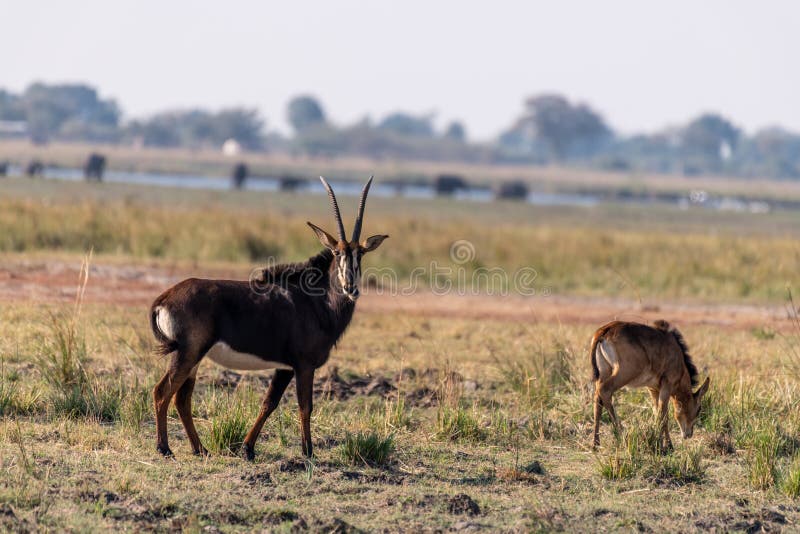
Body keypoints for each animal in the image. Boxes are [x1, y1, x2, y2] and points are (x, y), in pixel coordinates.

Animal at [152, 177, 390, 460]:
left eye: (360, 255)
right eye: (336, 253)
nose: (350, 288)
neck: (315, 300)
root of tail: (165, 297)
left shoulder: (285, 367)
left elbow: (269, 403)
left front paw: (248, 448)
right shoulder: (304, 365)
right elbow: (305, 406)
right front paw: (308, 452)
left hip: (194, 358)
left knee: (182, 399)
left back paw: (200, 449)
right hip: (187, 354)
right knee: (162, 392)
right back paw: (164, 448)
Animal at [588, 322, 712, 452]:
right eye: (699, 409)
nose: (689, 434)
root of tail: (605, 330)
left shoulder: (653, 389)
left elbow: (657, 413)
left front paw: (661, 443)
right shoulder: (666, 387)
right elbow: (663, 416)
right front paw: (668, 445)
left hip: (604, 372)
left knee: (598, 399)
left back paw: (595, 444)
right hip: (624, 374)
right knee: (605, 390)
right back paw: (622, 437)